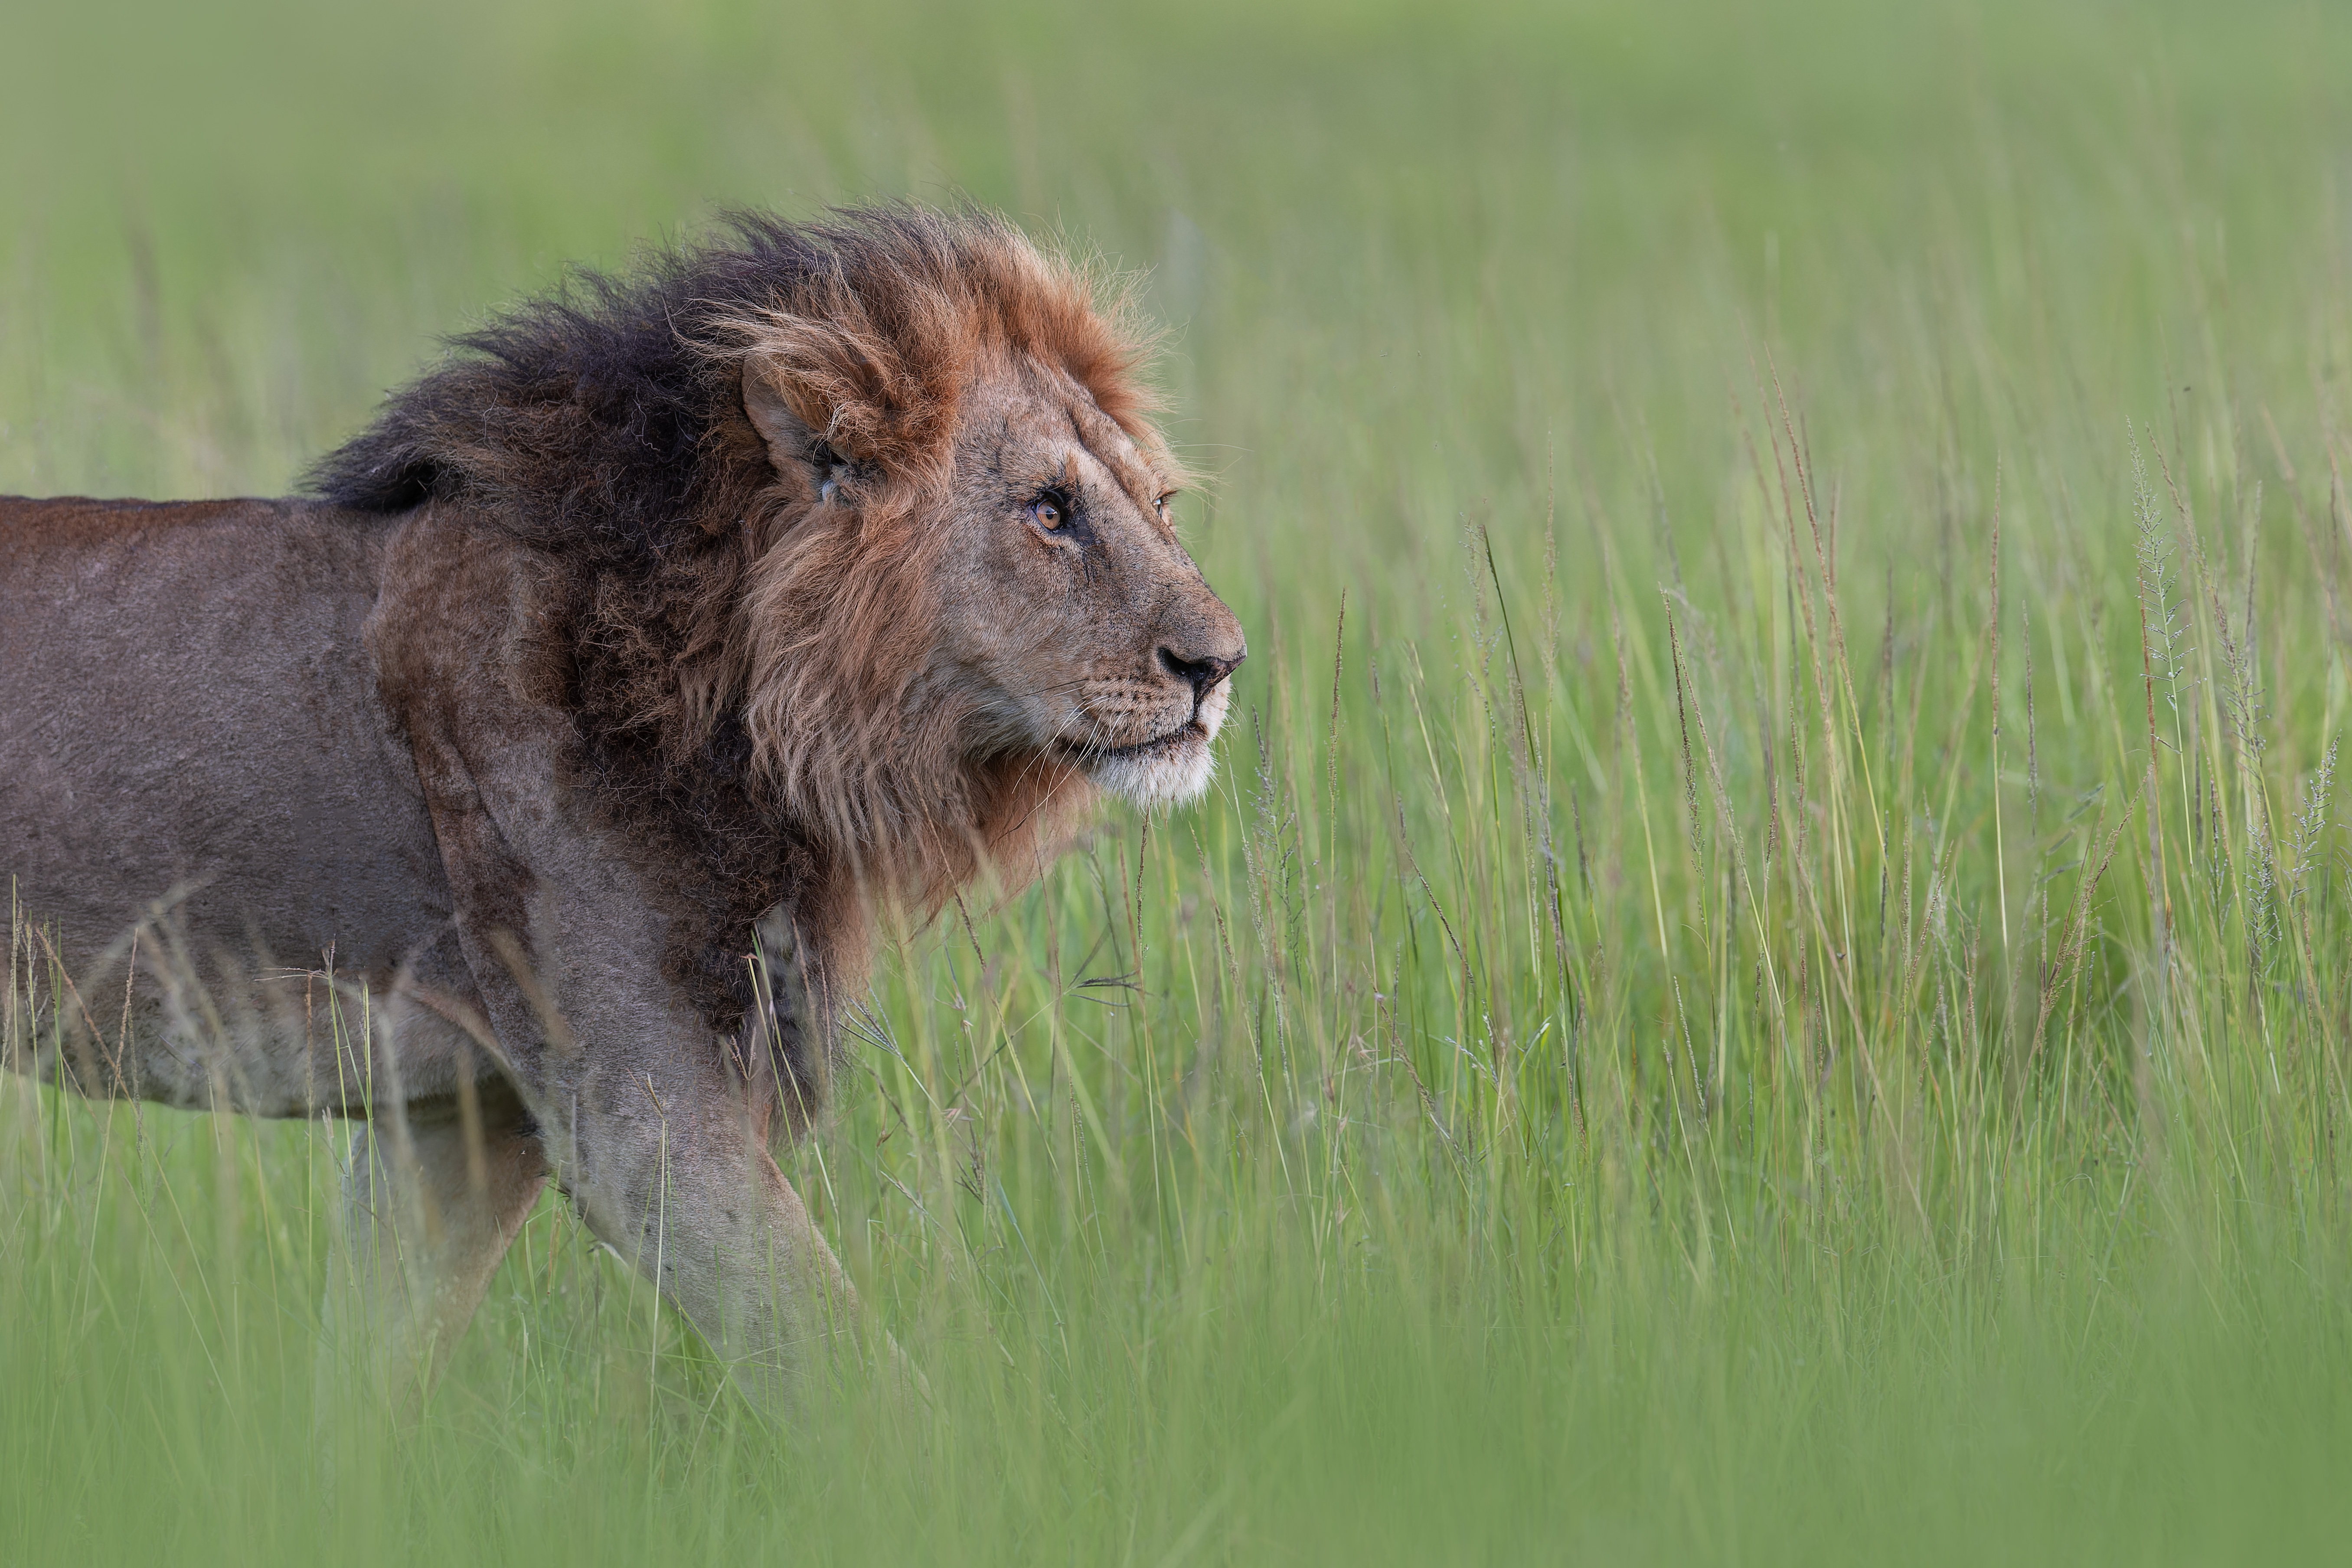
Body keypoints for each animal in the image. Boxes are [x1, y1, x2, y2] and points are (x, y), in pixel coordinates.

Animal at [0, 204, 1245, 1414]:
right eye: (1049, 510)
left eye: (1160, 503)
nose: (1221, 664)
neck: (743, 696)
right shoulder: (634, 1112)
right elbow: (851, 1373)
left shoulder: (463, 1120)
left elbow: (363, 1380)